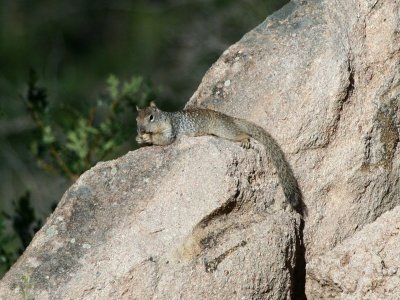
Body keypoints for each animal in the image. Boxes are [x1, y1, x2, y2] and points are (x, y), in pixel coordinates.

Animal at [136, 101, 302, 209]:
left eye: (151, 117)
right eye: (136, 119)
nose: (141, 130)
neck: (164, 118)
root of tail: (231, 118)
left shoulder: (171, 130)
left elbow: (164, 140)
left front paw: (148, 138)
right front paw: (140, 139)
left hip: (225, 130)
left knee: (241, 134)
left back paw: (244, 140)